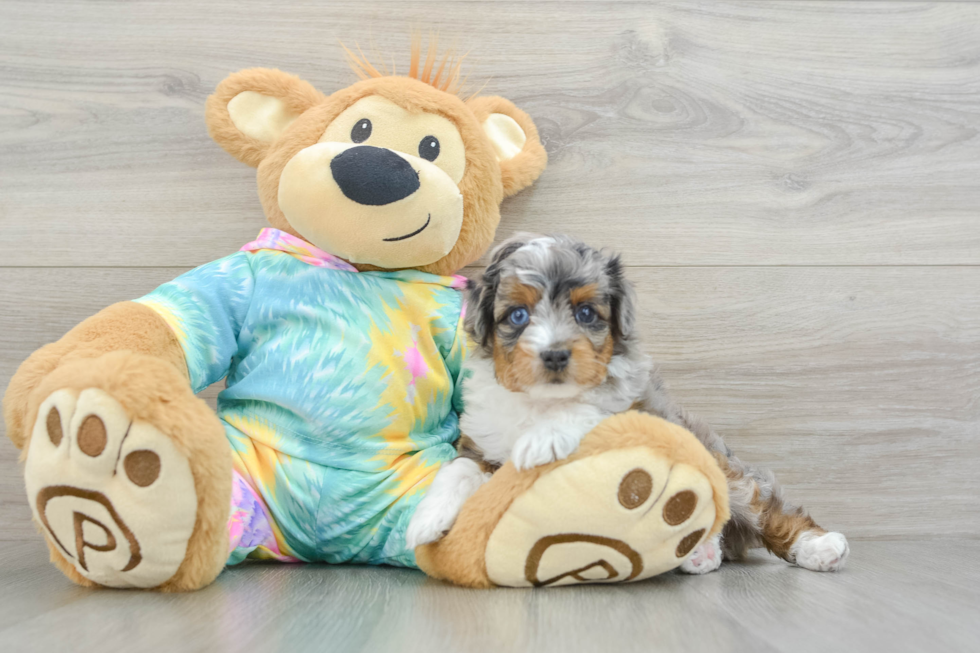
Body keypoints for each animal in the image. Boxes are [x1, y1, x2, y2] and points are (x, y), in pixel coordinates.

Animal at [406, 234, 848, 576]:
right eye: (517, 315)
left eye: (586, 312)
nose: (554, 355)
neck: (542, 402)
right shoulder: (482, 441)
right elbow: (460, 468)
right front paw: (427, 517)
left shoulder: (639, 411)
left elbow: (592, 408)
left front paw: (544, 438)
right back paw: (702, 552)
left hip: (723, 467)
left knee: (762, 507)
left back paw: (818, 547)